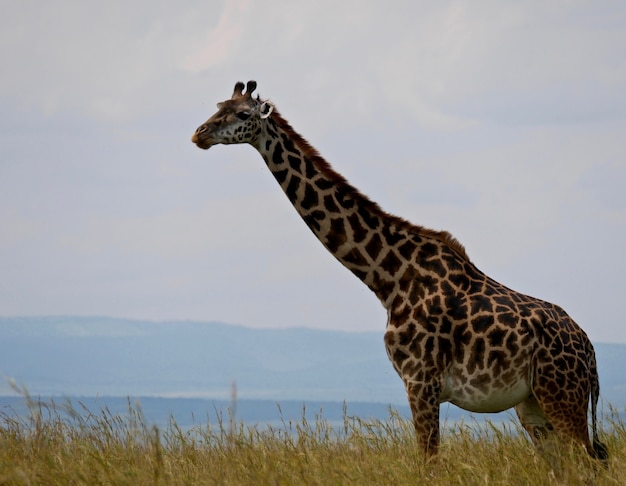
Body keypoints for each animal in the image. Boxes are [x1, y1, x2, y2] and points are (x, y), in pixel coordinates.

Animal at [189, 79, 604, 460]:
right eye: (219, 106)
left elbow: (428, 462)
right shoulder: (422, 384)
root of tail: (589, 351)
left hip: (562, 396)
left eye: (242, 115)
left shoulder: (421, 381)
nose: (199, 134)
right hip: (533, 406)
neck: (388, 277)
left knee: (589, 461)